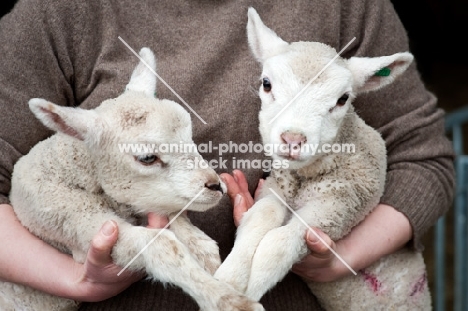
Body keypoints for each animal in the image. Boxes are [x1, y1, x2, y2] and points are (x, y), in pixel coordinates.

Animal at [0, 47, 266, 311]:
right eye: (147, 157)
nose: (215, 185)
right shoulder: (75, 223)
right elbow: (163, 247)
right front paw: (228, 299)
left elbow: (190, 234)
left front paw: (214, 266)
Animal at [214, 7, 434, 311]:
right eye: (266, 84)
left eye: (343, 99)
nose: (293, 139)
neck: (305, 178)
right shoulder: (274, 188)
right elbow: (259, 218)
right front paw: (229, 279)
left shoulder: (339, 208)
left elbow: (279, 244)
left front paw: (249, 293)